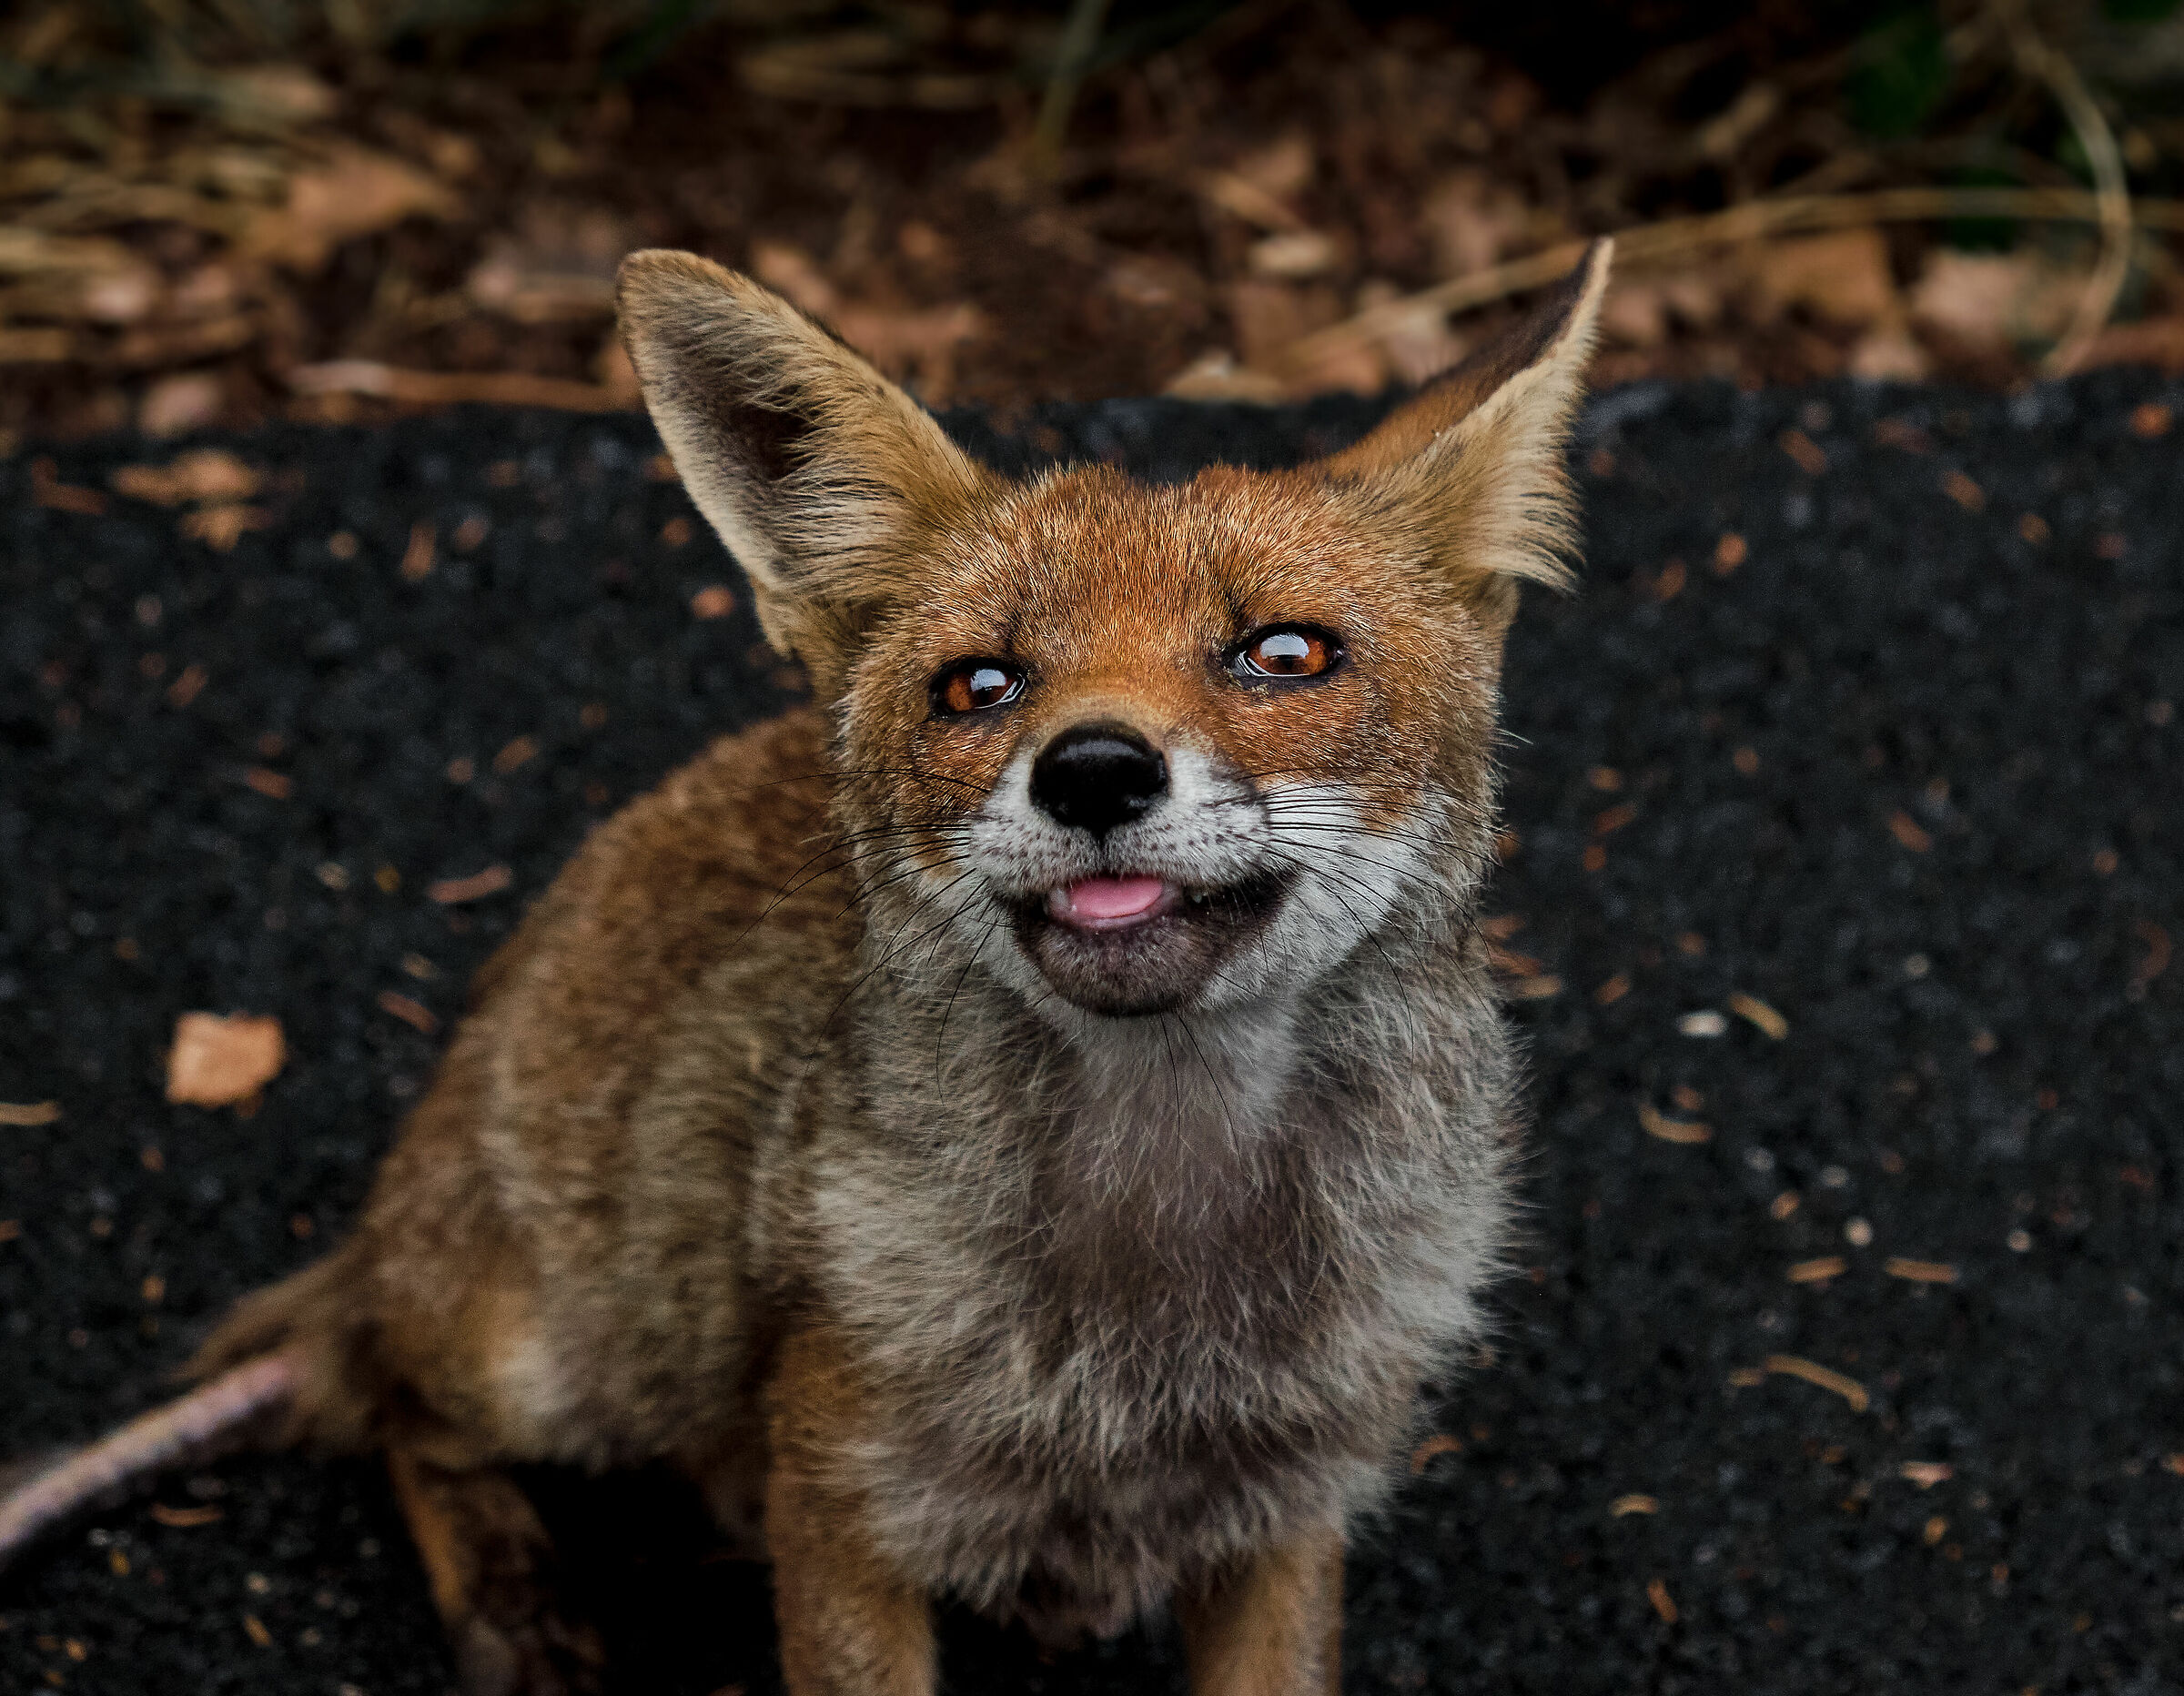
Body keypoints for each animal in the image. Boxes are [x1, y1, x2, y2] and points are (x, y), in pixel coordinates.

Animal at [0, 237, 1612, 1695]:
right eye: (980, 685)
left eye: (1285, 654)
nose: (1092, 770)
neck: (1160, 1305)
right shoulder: (843, 1492)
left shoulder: (1291, 1506)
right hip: (570, 1353)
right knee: (391, 1400)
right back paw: (515, 1599)